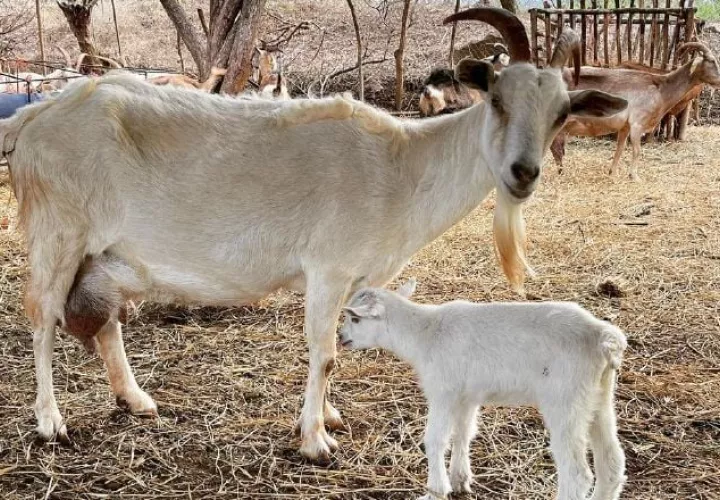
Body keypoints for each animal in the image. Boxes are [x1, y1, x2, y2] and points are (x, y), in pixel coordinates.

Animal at [0, 7, 626, 464]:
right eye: (496, 99)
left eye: (561, 113)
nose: (524, 173)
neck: (403, 167)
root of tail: (32, 119)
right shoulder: (328, 268)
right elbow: (322, 353)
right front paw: (316, 441)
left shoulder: (353, 279)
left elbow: (336, 351)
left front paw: (328, 417)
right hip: (58, 233)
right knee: (41, 315)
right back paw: (51, 422)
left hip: (106, 254)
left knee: (104, 322)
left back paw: (136, 400)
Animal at [339, 280, 627, 500]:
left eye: (354, 318)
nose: (342, 337)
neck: (425, 333)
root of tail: (603, 338)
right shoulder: (466, 396)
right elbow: (463, 434)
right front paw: (460, 481)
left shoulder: (442, 391)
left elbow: (435, 439)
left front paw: (435, 490)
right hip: (597, 398)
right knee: (612, 462)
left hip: (565, 401)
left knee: (577, 474)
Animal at [551, 42, 720, 179]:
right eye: (711, 61)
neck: (661, 88)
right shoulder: (638, 124)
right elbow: (637, 150)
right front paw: (634, 176)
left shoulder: (625, 127)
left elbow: (619, 149)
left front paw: (612, 173)